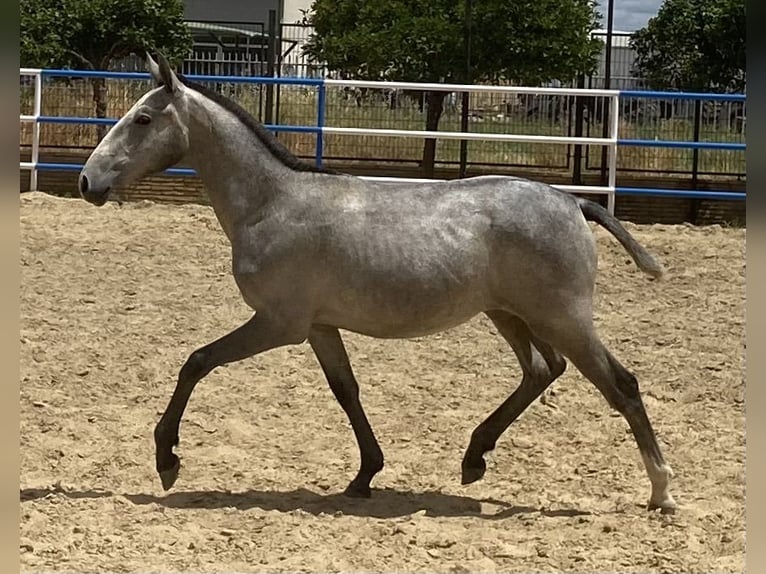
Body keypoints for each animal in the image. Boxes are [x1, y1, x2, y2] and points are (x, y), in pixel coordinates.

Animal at [76, 51, 680, 516]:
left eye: (143, 119)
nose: (87, 182)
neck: (272, 204)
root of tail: (573, 202)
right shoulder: (318, 327)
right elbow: (346, 391)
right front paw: (365, 474)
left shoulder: (278, 323)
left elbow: (197, 362)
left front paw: (167, 459)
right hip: (510, 314)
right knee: (542, 370)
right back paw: (474, 459)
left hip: (562, 317)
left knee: (620, 384)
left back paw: (662, 492)